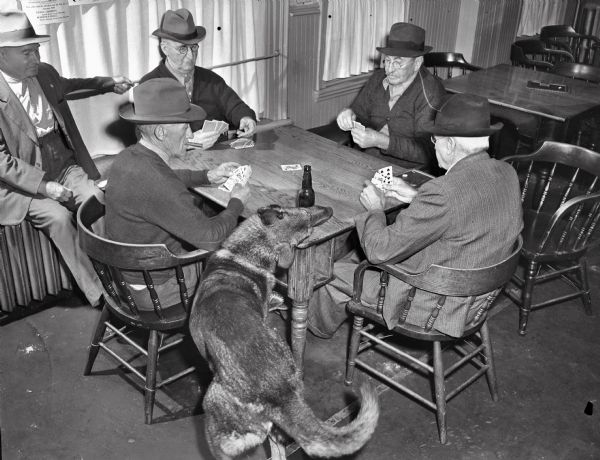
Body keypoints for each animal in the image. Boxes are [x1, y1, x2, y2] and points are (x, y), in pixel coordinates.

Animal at [190, 206, 380, 460]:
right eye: (304, 214)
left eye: (308, 228)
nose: (328, 210)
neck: (247, 254)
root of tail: (281, 392)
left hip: (214, 412)